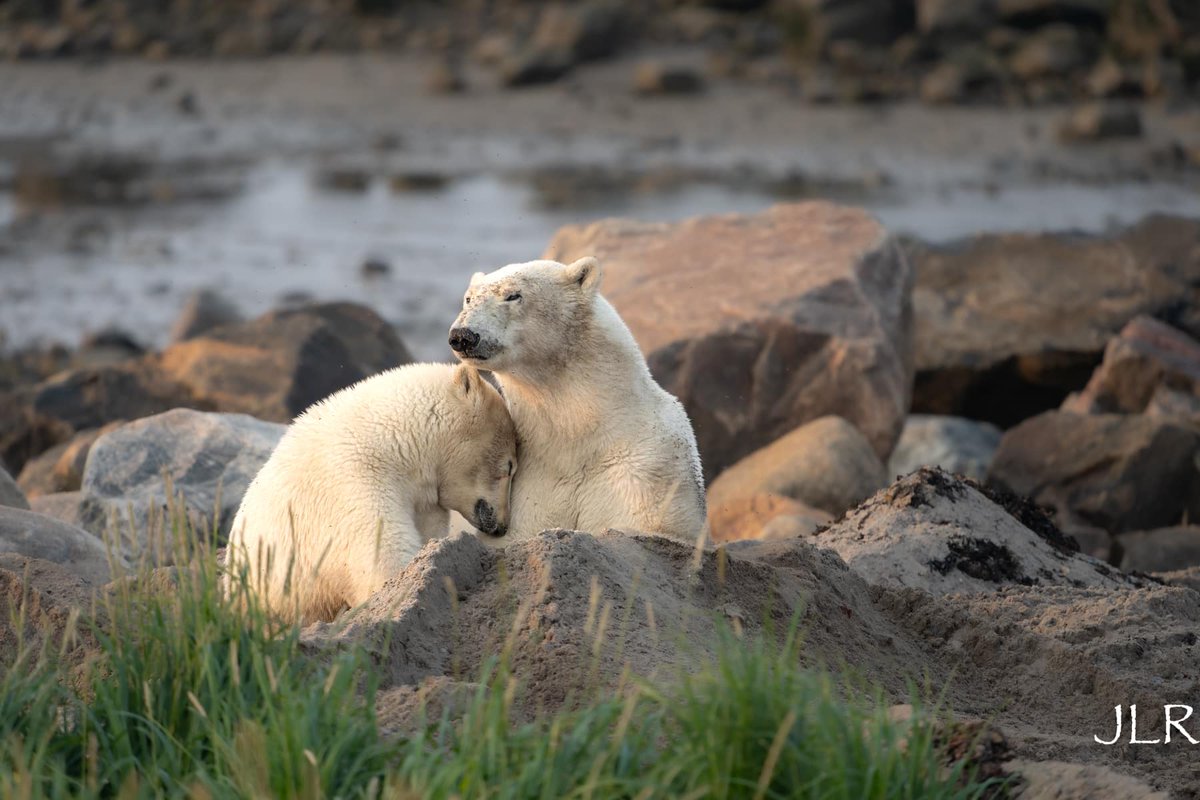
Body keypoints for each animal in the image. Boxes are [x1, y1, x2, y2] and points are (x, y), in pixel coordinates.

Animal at [225, 362, 517, 623]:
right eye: (510, 466)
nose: (502, 525)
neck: (389, 442)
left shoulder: (422, 503)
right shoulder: (353, 485)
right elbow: (382, 561)